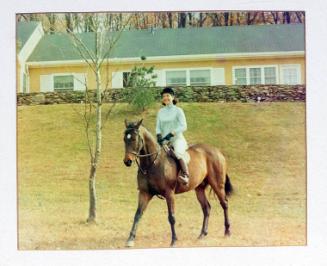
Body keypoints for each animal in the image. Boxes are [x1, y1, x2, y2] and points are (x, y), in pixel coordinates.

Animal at [123, 118, 233, 247]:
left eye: (134, 139)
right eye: (124, 139)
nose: (127, 161)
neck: (153, 163)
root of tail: (217, 151)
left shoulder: (169, 193)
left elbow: (171, 217)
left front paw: (174, 240)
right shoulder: (144, 193)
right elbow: (138, 214)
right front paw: (130, 239)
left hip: (217, 184)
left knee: (224, 204)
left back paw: (227, 231)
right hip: (199, 188)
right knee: (206, 208)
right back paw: (202, 234)